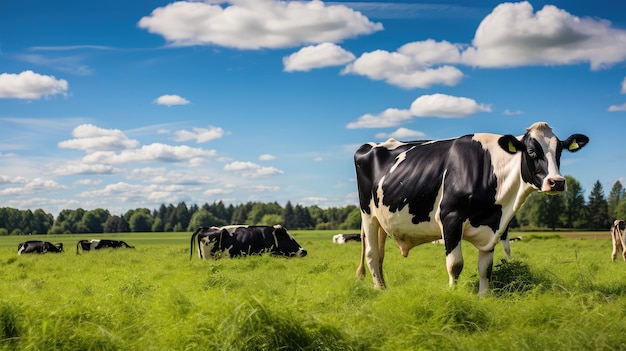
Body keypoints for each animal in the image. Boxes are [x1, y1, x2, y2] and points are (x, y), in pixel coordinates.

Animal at [354, 122, 588, 296]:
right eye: (531, 151)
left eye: (560, 151)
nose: (556, 182)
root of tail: (369, 145)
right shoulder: (450, 218)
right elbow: (455, 264)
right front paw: (454, 295)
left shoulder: (494, 225)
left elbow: (486, 267)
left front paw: (484, 298)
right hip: (368, 215)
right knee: (372, 254)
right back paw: (379, 290)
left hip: (384, 221)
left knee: (381, 255)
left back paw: (385, 288)